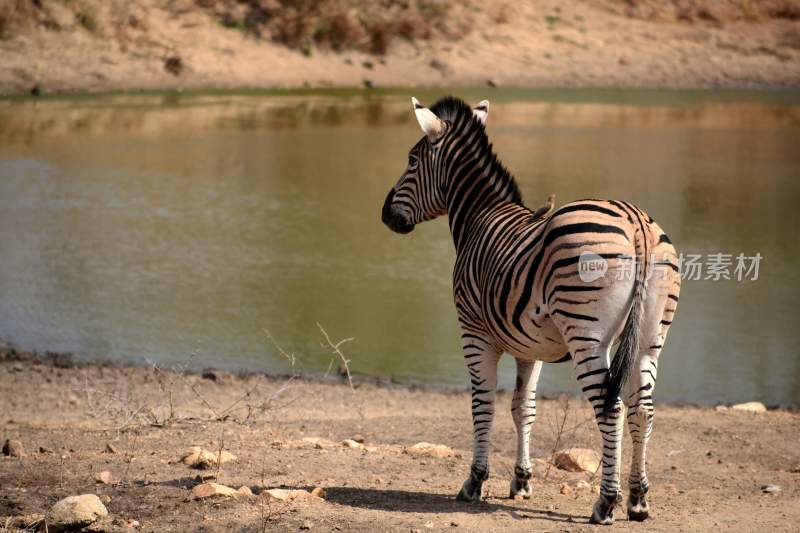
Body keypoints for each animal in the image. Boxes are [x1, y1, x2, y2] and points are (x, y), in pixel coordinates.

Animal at [378, 95, 680, 524]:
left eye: (411, 159)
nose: (385, 214)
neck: (479, 217)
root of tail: (635, 219)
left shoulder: (474, 332)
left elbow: (483, 403)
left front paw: (475, 480)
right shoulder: (530, 347)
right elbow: (524, 408)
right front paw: (521, 480)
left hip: (586, 334)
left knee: (612, 408)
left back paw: (606, 502)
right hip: (651, 335)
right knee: (643, 409)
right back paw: (638, 500)